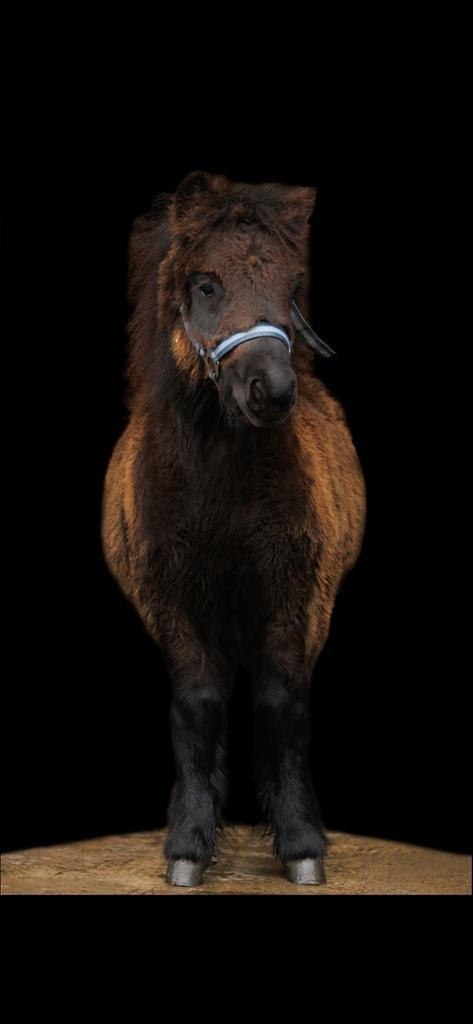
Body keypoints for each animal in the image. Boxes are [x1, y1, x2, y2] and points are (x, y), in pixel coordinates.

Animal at [102, 171, 366, 887]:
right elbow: (198, 704)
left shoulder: (298, 595)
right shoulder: (170, 600)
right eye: (206, 286)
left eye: (292, 287)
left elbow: (282, 703)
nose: (270, 391)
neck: (219, 492)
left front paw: (301, 844)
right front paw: (189, 846)